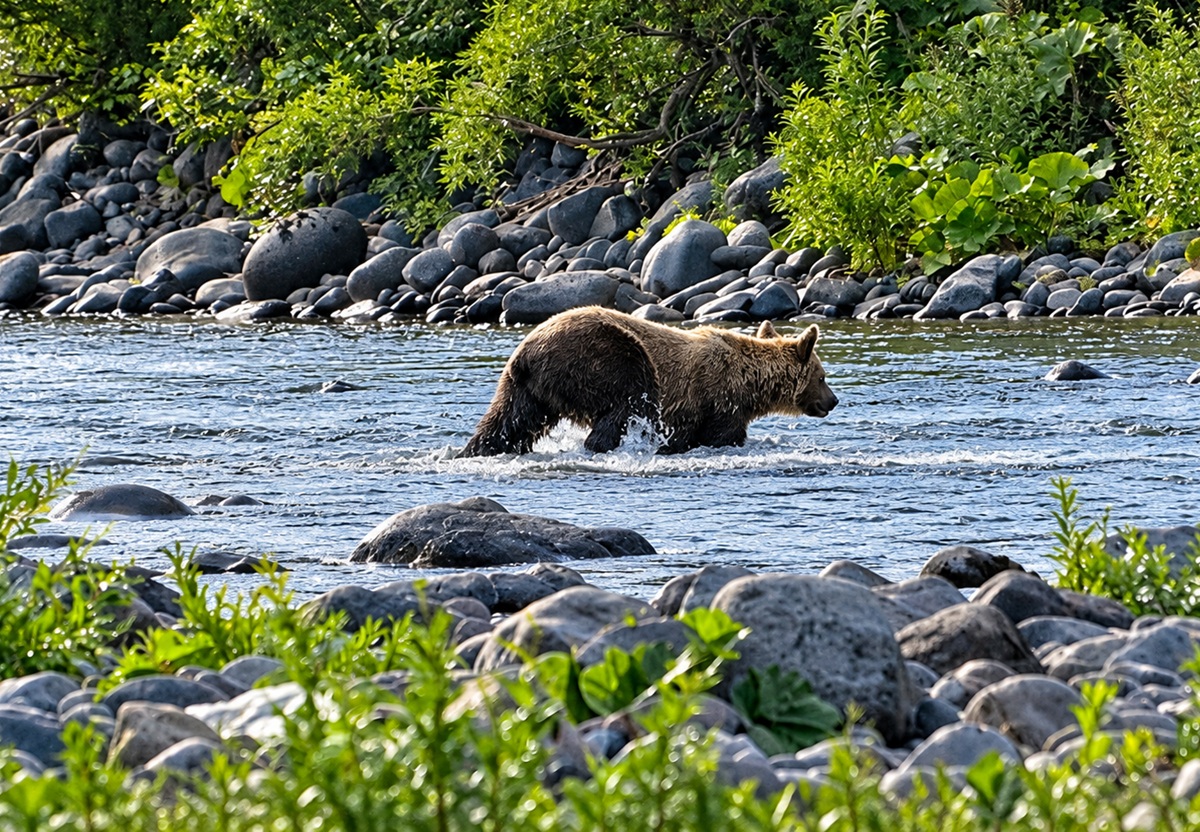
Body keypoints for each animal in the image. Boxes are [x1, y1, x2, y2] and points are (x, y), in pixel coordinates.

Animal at [460, 306, 837, 456]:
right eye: (822, 376)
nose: (833, 401)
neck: (748, 383)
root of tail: (527, 353)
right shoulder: (716, 402)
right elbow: (718, 436)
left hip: (525, 389)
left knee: (507, 422)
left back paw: (473, 450)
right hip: (605, 357)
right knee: (624, 403)